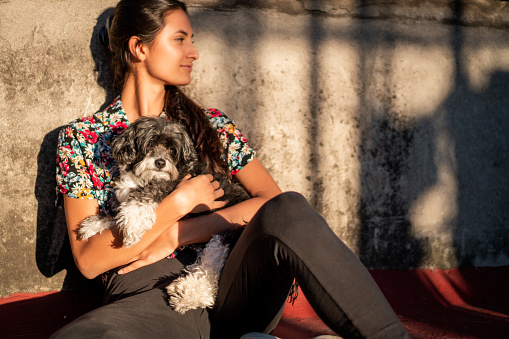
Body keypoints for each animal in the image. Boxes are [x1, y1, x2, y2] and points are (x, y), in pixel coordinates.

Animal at [78, 116, 250, 314]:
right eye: (150, 144)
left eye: (172, 150)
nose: (160, 162)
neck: (141, 178)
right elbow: (115, 213)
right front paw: (94, 225)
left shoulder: (167, 186)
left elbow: (143, 198)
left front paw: (133, 224)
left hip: (228, 230)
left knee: (213, 262)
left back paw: (189, 294)